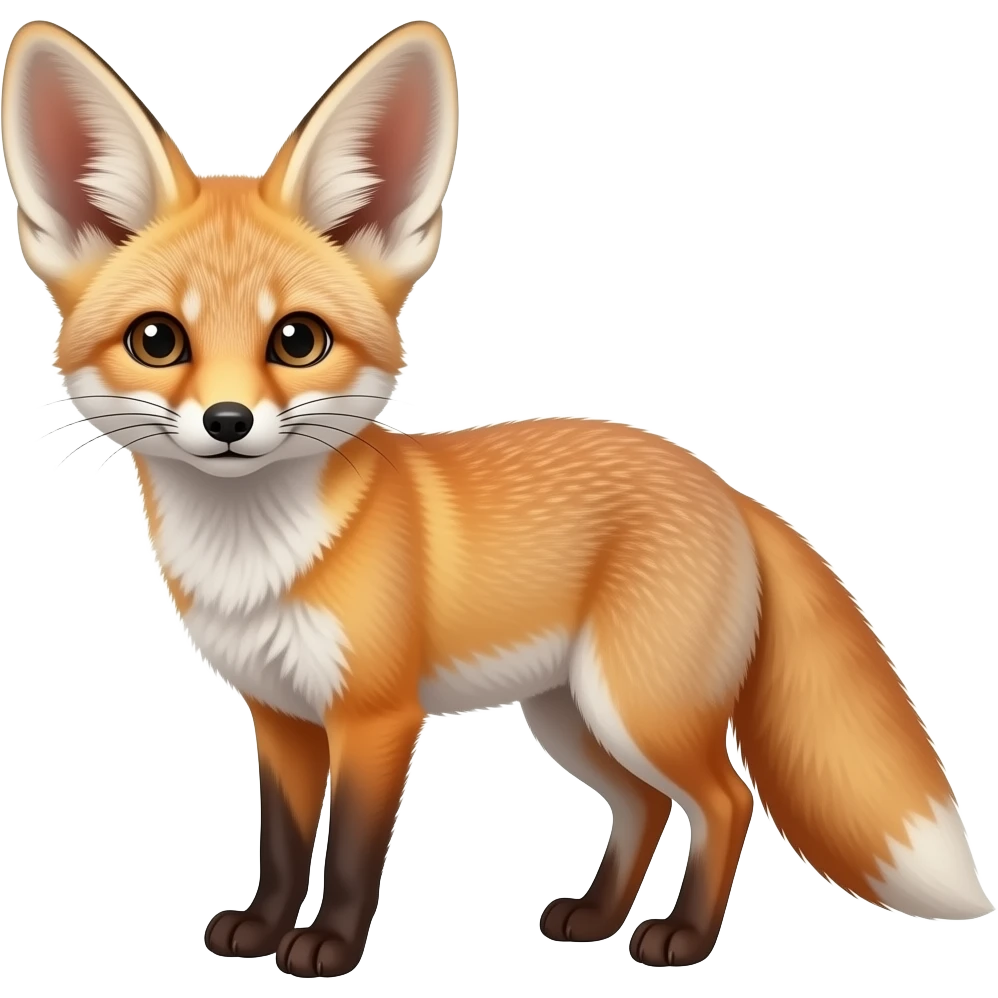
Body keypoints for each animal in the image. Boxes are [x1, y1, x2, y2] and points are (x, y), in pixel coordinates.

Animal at [6, 16, 993, 979]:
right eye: (157, 340)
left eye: (296, 340)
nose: (227, 421)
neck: (260, 559)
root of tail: (722, 485)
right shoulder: (279, 715)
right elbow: (282, 844)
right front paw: (261, 927)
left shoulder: (376, 717)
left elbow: (354, 848)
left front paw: (328, 949)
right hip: (570, 717)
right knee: (642, 808)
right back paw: (595, 919)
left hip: (637, 709)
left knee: (726, 797)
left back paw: (681, 939)